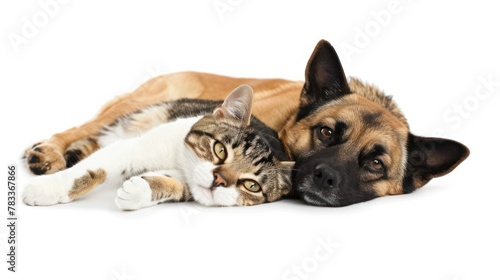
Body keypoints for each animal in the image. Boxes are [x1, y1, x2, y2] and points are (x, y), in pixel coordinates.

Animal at [22, 85, 292, 210]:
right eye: (220, 150)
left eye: (251, 185)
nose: (220, 181)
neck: (180, 161)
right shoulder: (136, 147)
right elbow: (89, 170)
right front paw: (45, 190)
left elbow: (176, 186)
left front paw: (138, 191)